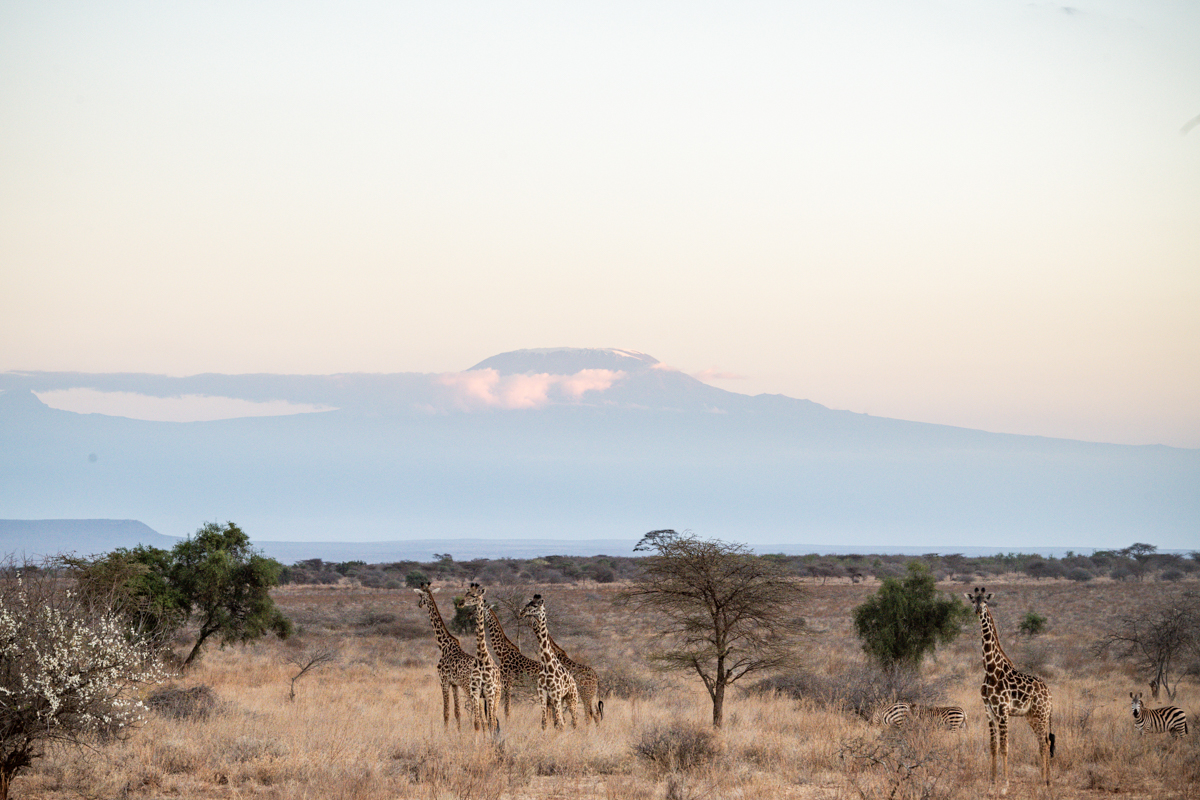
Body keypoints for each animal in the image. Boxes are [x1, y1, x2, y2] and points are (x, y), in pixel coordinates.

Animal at [415, 582, 475, 734]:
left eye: (420, 596)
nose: (419, 604)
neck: (443, 645)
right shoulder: (454, 683)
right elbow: (457, 711)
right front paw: (458, 732)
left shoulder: (443, 681)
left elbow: (446, 712)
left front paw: (446, 733)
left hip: (469, 687)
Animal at [456, 585, 499, 734]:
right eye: (466, 593)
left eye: (474, 596)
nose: (460, 603)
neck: (481, 657)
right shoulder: (475, 692)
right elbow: (477, 723)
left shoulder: (489, 692)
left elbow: (490, 722)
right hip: (483, 698)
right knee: (486, 721)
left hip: (496, 695)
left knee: (493, 721)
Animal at [516, 594, 580, 734]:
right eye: (527, 603)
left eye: (535, 605)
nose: (521, 612)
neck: (546, 664)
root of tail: (573, 681)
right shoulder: (543, 693)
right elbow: (544, 723)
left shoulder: (556, 693)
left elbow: (560, 724)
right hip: (560, 700)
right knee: (565, 721)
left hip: (571, 698)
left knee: (574, 721)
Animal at [960, 587, 1056, 796]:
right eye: (973, 601)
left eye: (985, 601)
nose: (977, 611)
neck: (990, 670)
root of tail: (1050, 693)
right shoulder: (989, 711)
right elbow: (993, 746)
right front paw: (991, 785)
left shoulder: (1003, 711)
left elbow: (1005, 747)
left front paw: (1004, 786)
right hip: (1031, 716)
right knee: (1041, 743)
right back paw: (1042, 779)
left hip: (1042, 714)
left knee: (1045, 743)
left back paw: (1048, 782)